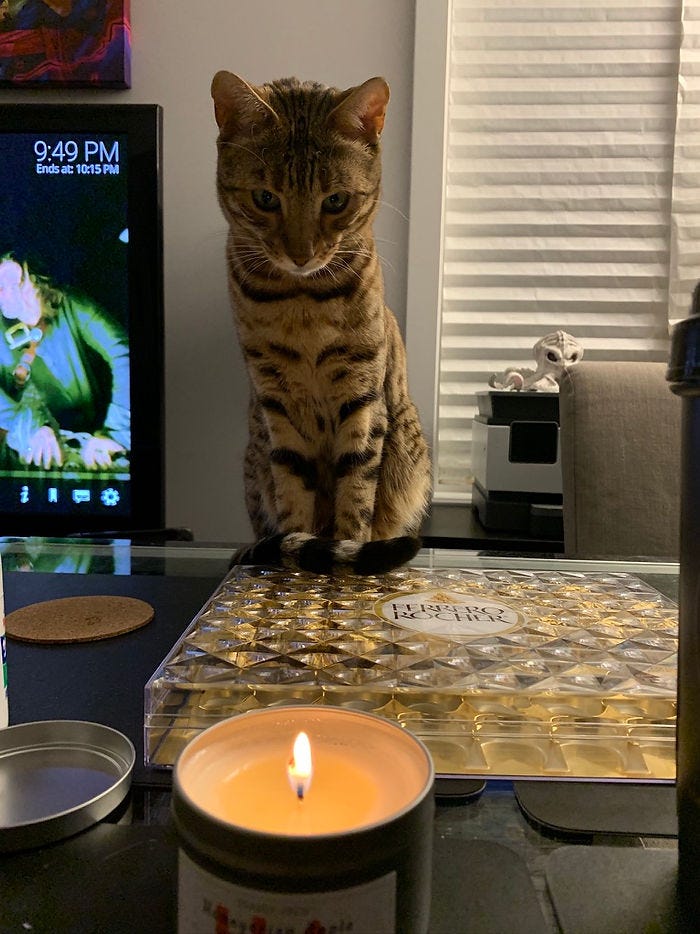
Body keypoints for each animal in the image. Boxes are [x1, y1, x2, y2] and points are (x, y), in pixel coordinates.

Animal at [212, 73, 432, 576]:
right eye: (265, 198)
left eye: (335, 201)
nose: (301, 254)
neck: (302, 302)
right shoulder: (275, 399)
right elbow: (292, 492)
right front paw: (298, 555)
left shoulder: (363, 393)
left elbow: (357, 490)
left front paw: (346, 551)